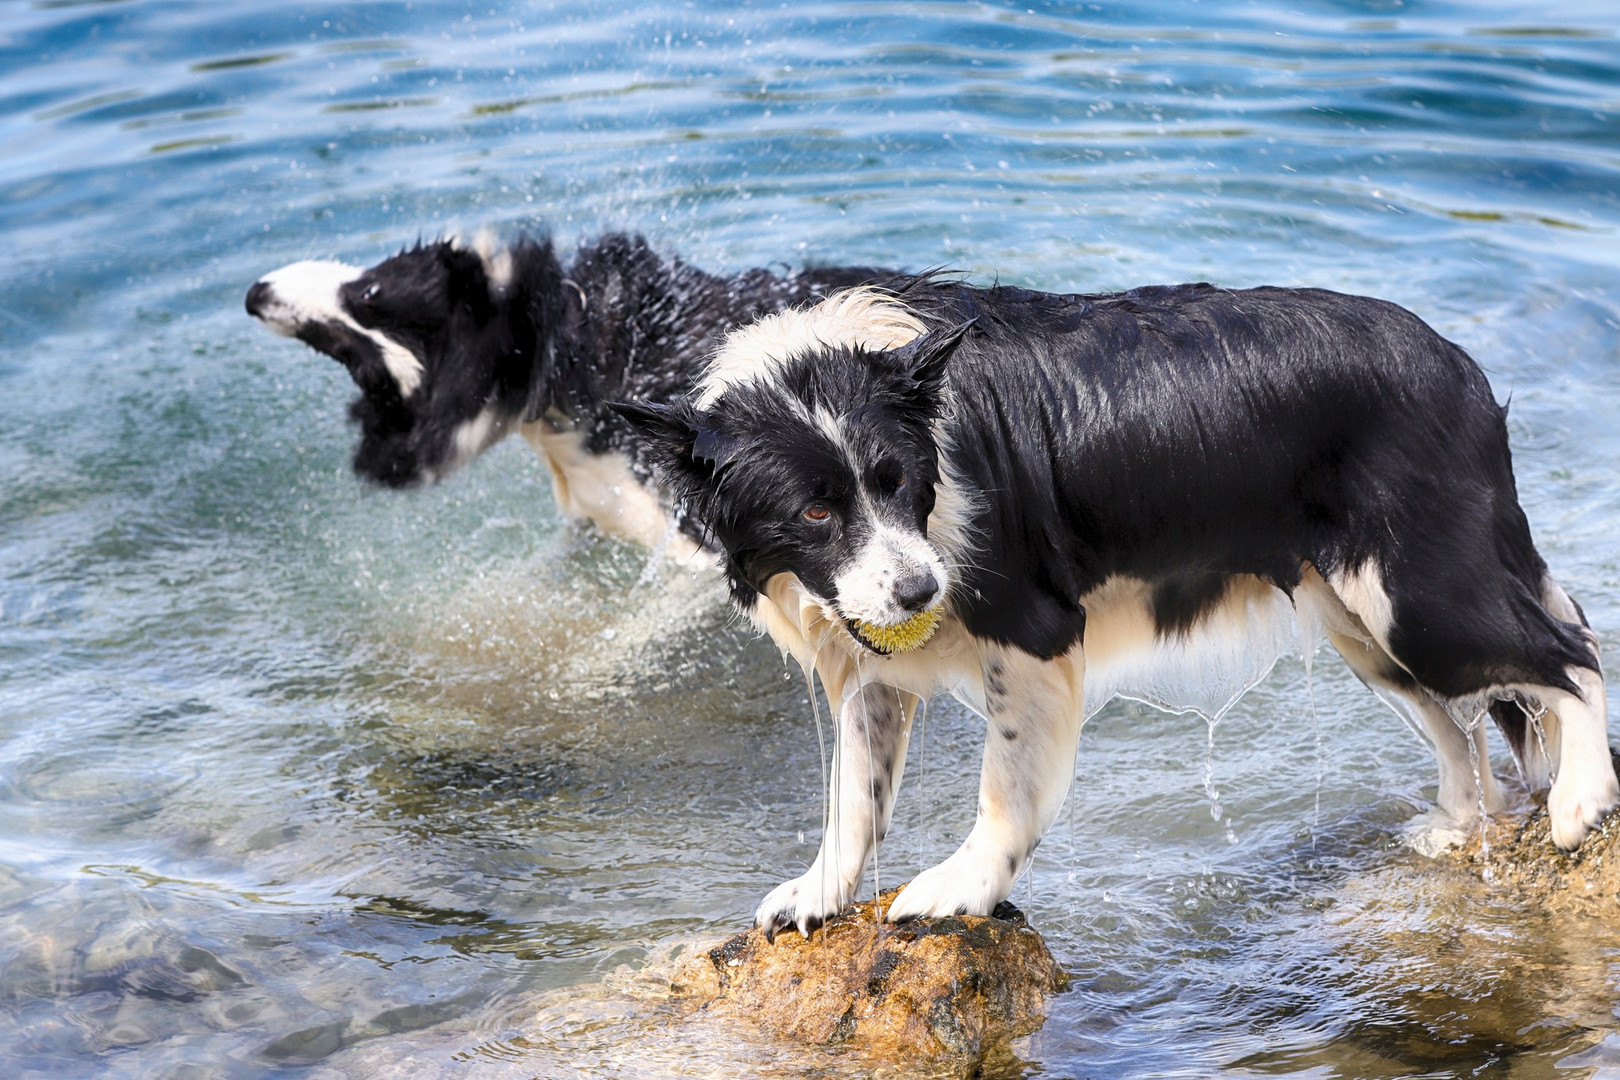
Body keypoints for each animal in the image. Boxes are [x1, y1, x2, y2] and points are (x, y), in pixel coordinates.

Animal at [612, 276, 1613, 939]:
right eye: (815, 513)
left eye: (898, 482)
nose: (923, 592)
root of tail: (1457, 364)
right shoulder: (871, 650)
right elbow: (855, 795)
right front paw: (822, 890)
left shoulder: (1032, 632)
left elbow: (1005, 787)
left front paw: (964, 887)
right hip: (1363, 621)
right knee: (1461, 716)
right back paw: (1459, 826)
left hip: (1420, 596)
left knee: (1571, 649)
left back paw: (1580, 800)